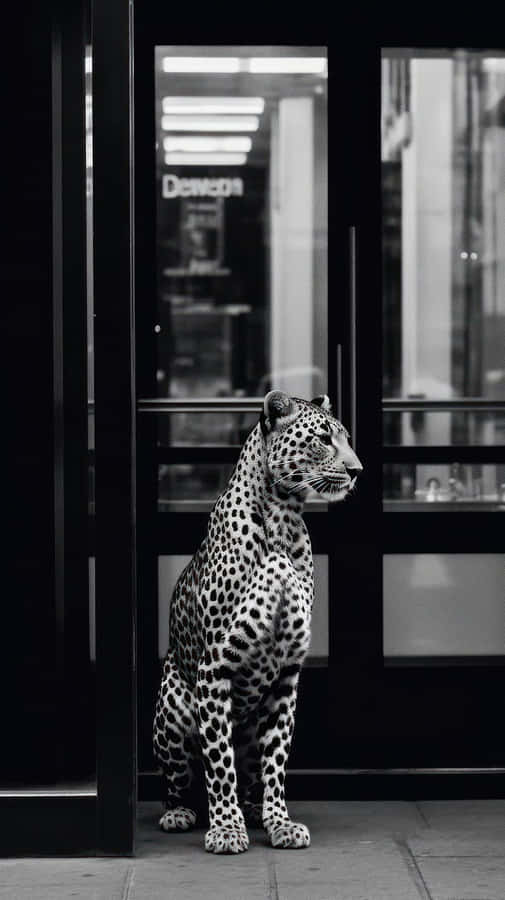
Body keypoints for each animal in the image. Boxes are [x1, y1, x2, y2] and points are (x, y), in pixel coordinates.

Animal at [153, 390, 363, 854]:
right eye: (324, 438)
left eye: (346, 438)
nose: (357, 470)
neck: (284, 517)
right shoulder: (215, 667)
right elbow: (219, 761)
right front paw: (226, 829)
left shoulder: (287, 673)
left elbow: (275, 761)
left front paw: (279, 822)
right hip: (173, 707)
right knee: (179, 782)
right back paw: (183, 812)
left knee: (251, 775)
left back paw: (253, 811)